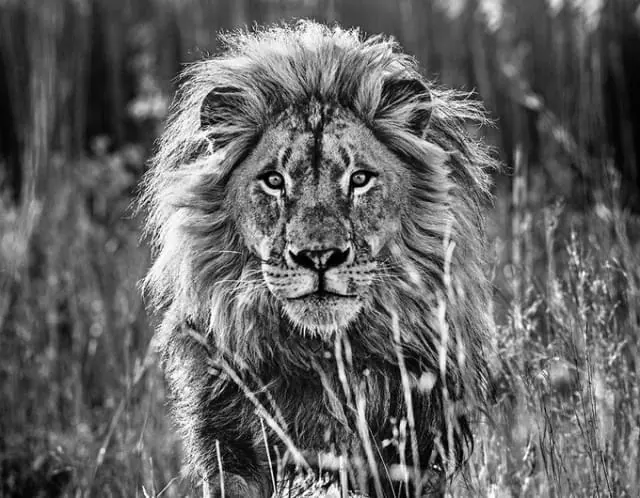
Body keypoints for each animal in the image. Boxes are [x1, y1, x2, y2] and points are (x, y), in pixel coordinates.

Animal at [140, 21, 498, 498]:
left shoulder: (414, 447)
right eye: (274, 181)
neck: (325, 354)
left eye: (359, 179)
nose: (319, 256)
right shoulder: (230, 442)